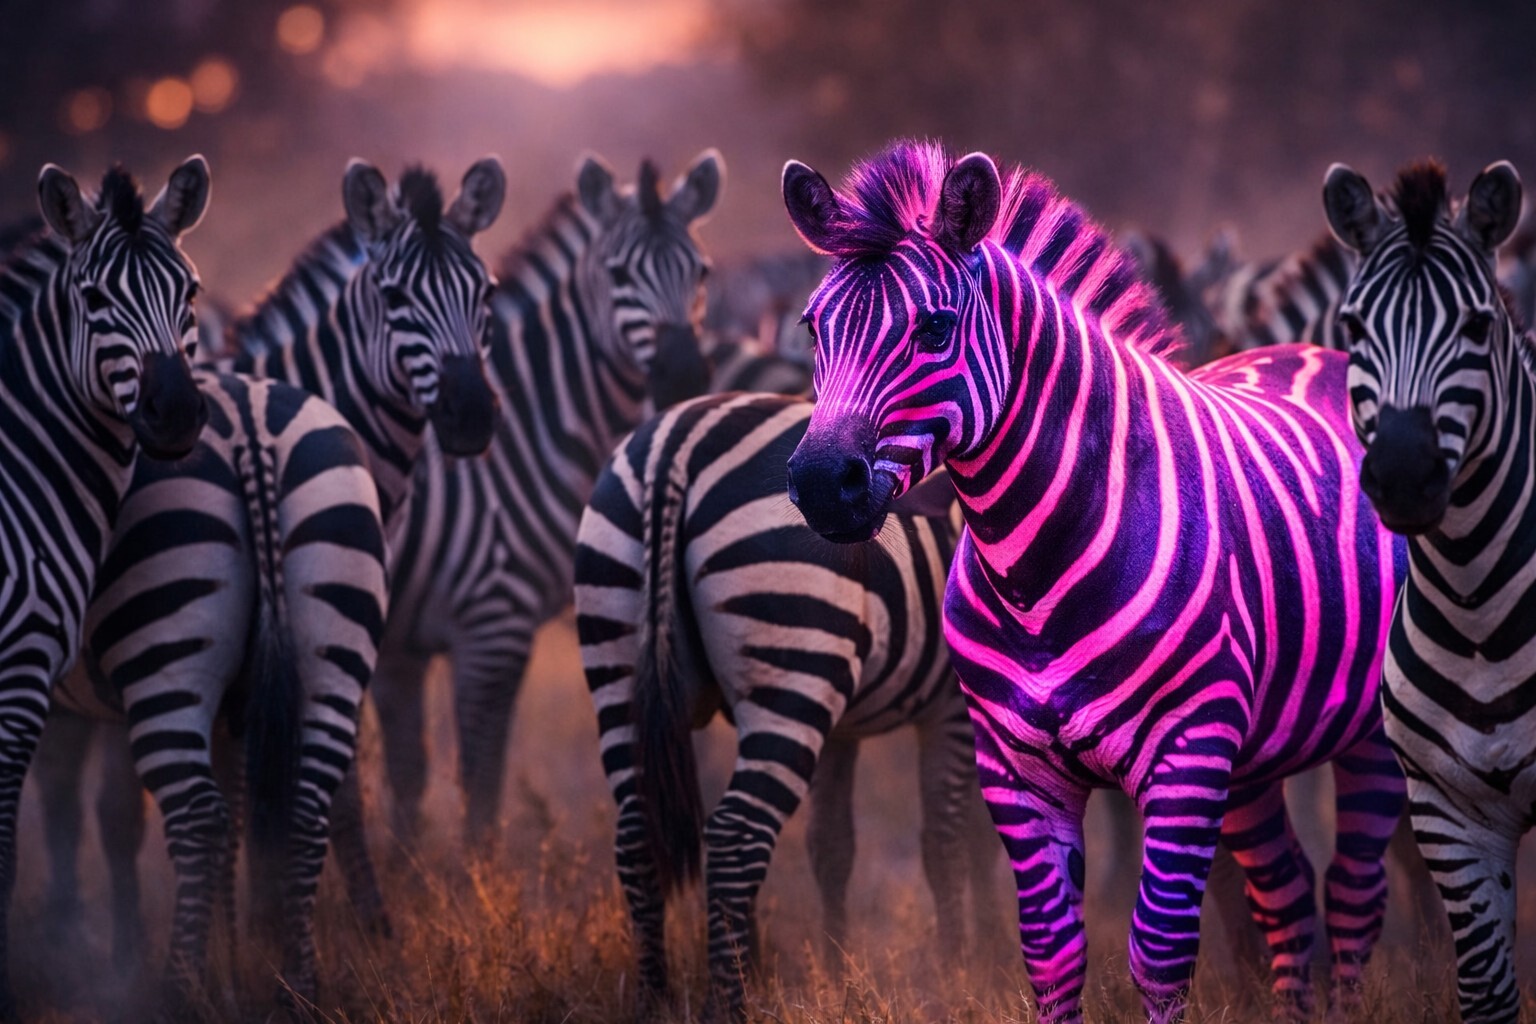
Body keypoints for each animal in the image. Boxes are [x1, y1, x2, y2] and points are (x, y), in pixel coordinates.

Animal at [377, 150, 721, 851]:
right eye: (618, 275)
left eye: (700, 272)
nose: (682, 379)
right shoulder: (491, 628)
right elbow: (479, 791)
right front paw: (476, 878)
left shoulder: (404, 649)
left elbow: (410, 789)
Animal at [575, 391, 996, 1020]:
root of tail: (677, 444)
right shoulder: (951, 708)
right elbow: (950, 841)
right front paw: (961, 974)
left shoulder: (842, 727)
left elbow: (832, 846)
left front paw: (838, 972)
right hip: (793, 667)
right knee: (734, 838)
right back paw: (730, 1006)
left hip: (618, 660)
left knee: (637, 835)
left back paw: (655, 1000)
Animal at [780, 141, 1410, 1024]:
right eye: (814, 328)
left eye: (934, 328)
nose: (816, 483)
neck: (1033, 571)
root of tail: (1320, 354)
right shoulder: (1016, 770)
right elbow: (1051, 956)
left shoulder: (1186, 756)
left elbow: (1158, 954)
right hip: (1252, 754)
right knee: (1287, 894)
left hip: (1368, 732)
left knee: (1354, 893)